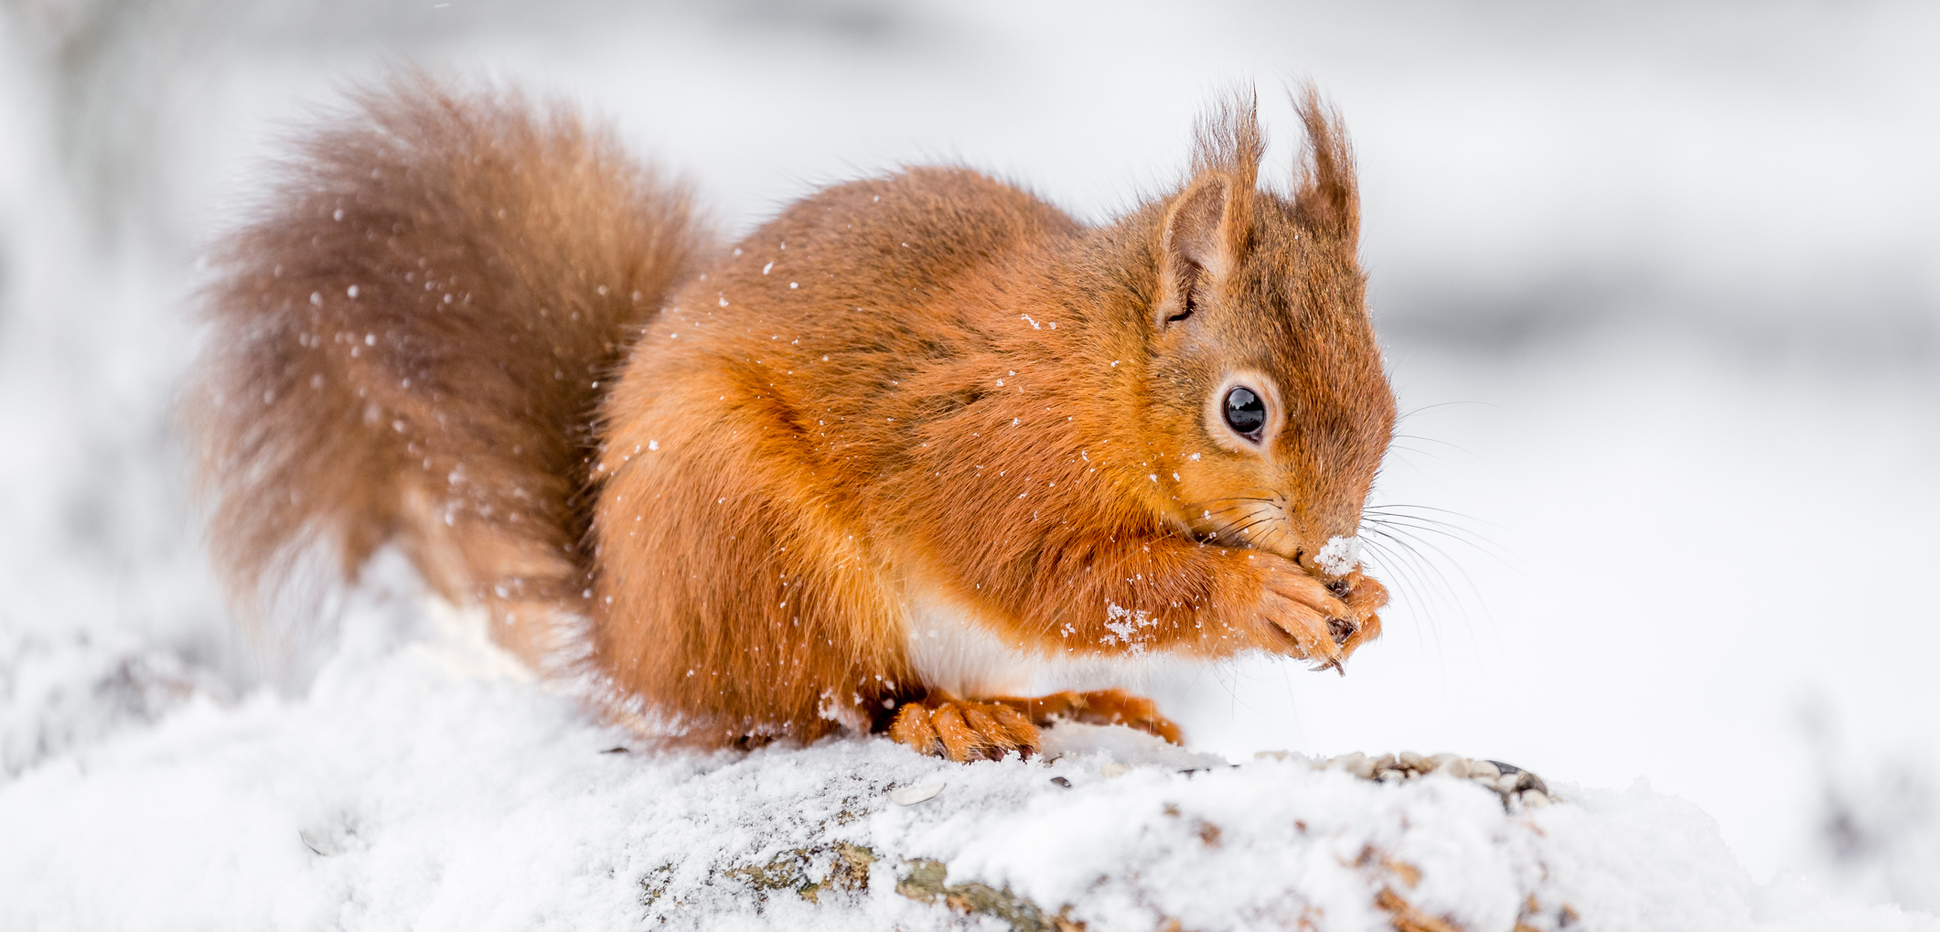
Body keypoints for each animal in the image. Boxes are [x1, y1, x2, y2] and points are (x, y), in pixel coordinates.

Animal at [185, 76, 1396, 761]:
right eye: (1243, 409)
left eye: (1384, 396)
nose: (1325, 537)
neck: (1095, 374)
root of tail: (625, 635)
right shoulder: (991, 456)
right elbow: (1058, 579)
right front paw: (1260, 596)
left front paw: (1363, 601)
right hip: (756, 547)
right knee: (828, 699)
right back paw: (939, 716)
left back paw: (1082, 701)